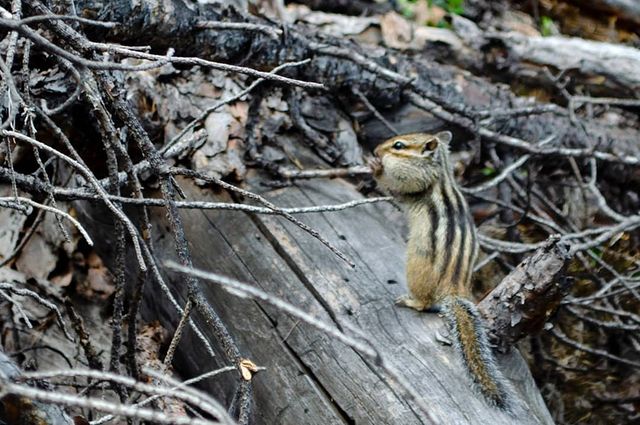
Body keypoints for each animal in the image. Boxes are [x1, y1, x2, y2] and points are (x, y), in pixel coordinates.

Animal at [371, 131, 510, 410]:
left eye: (398, 146)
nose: (376, 151)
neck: (442, 173)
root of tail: (454, 289)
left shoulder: (413, 186)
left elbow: (394, 190)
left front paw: (376, 167)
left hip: (416, 270)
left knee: (424, 303)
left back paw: (410, 301)